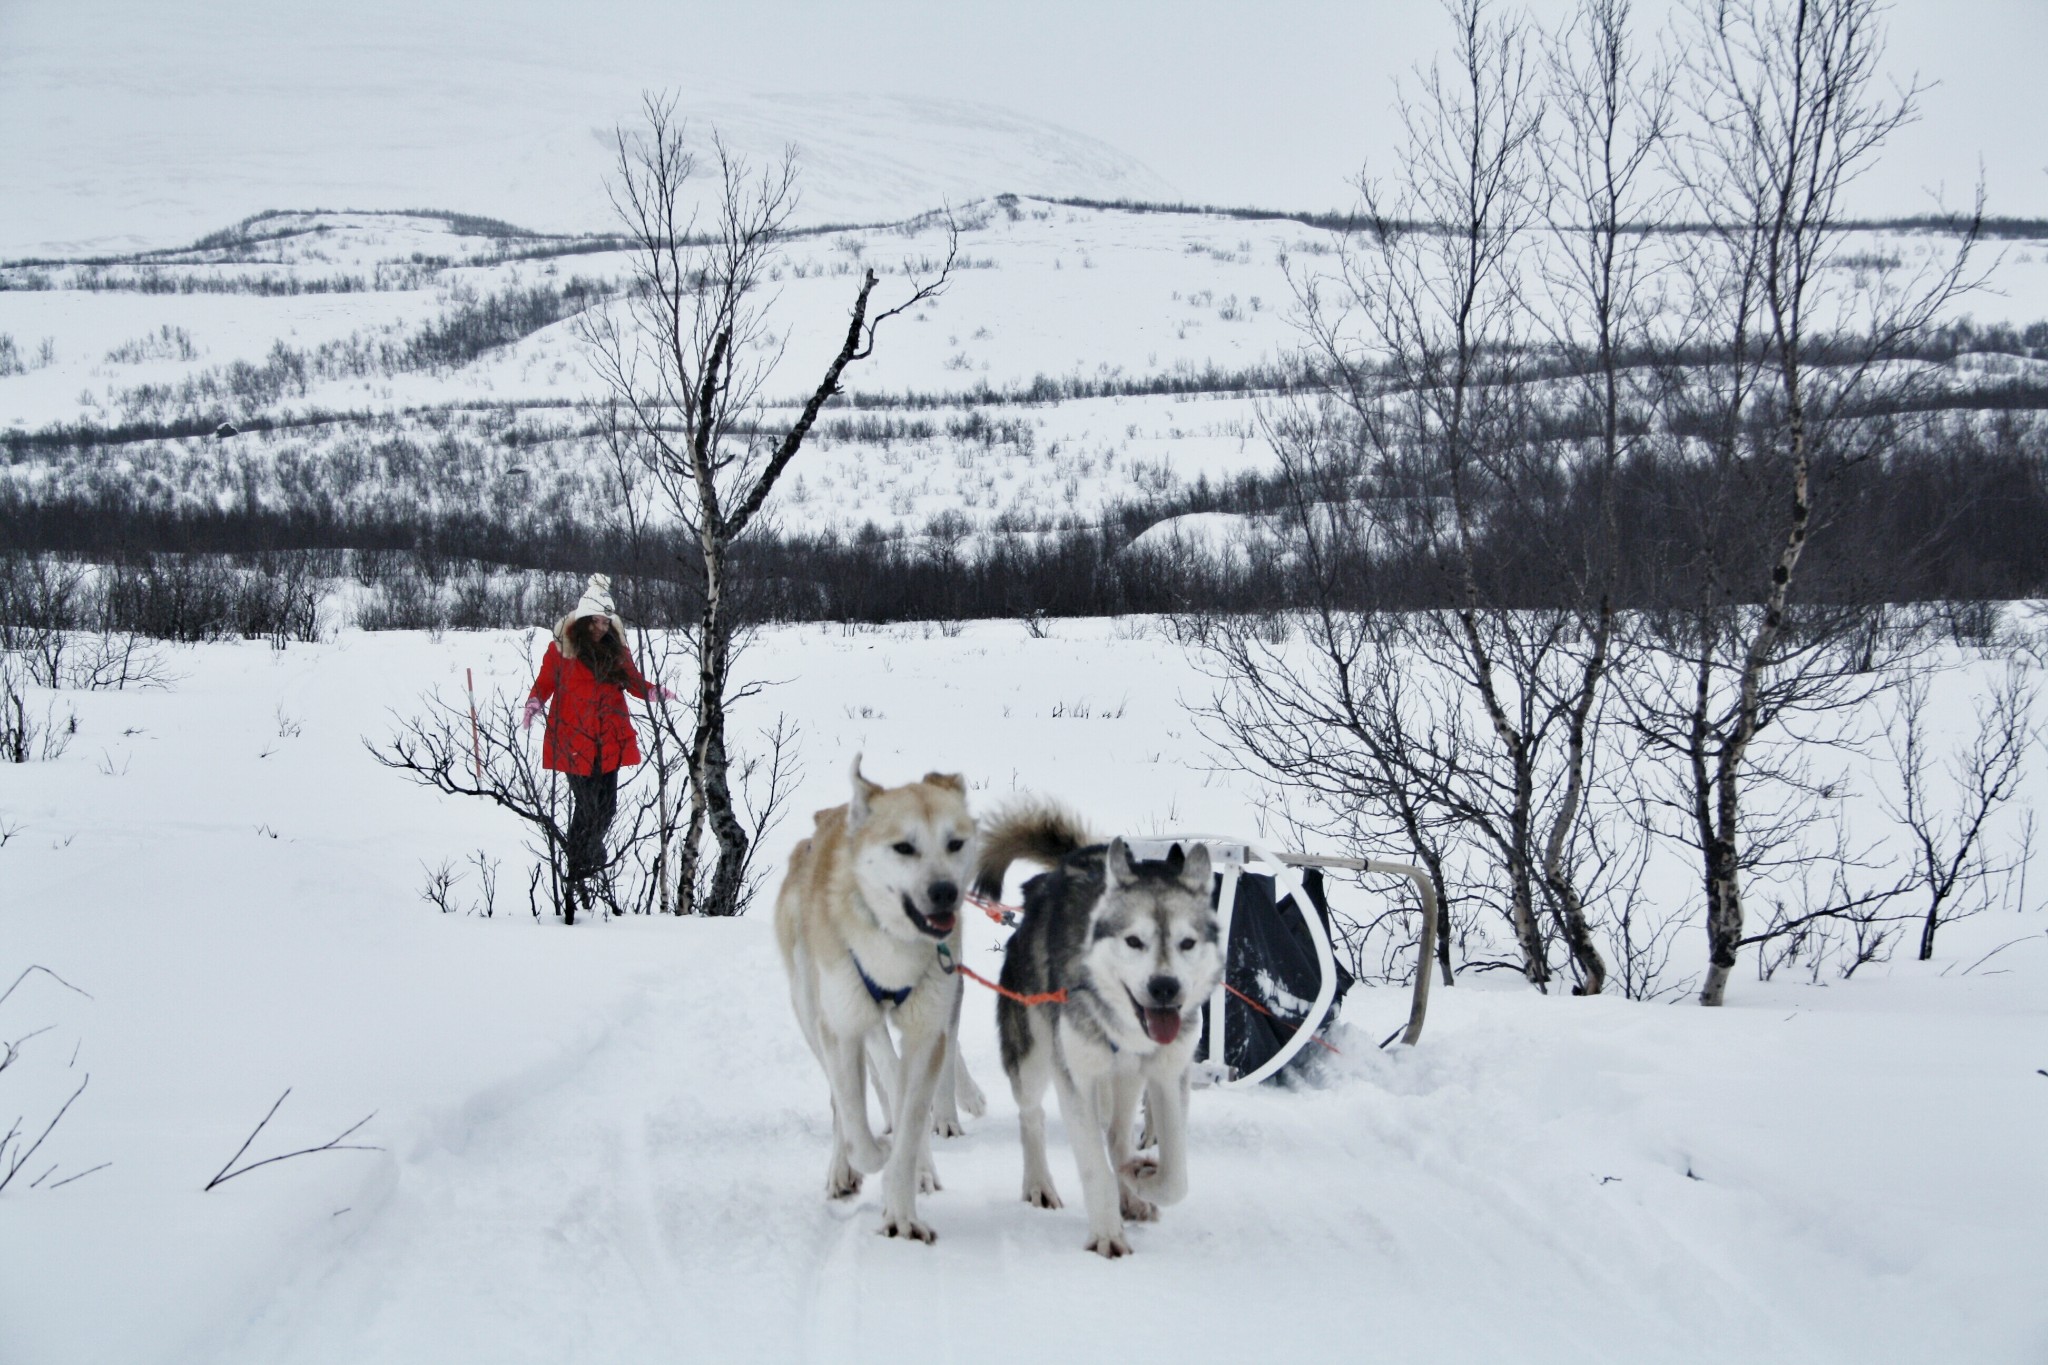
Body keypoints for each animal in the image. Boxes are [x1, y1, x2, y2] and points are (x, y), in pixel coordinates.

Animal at [774, 765, 983, 1244]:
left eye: (955, 843)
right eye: (904, 847)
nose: (944, 891)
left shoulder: (928, 1030)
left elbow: (911, 1121)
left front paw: (903, 1212)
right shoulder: (849, 1024)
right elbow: (861, 1128)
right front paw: (874, 1156)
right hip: (814, 1014)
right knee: (843, 1104)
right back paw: (843, 1169)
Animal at [970, 802, 1212, 1260]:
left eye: (1187, 943)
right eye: (1134, 941)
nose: (1165, 988)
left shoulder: (1168, 1073)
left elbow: (1177, 1177)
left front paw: (1140, 1180)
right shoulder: (1076, 1078)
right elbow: (1094, 1166)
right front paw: (1106, 1235)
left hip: (1127, 1078)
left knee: (1117, 1134)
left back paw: (1131, 1192)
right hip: (1033, 1059)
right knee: (1032, 1116)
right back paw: (1039, 1185)